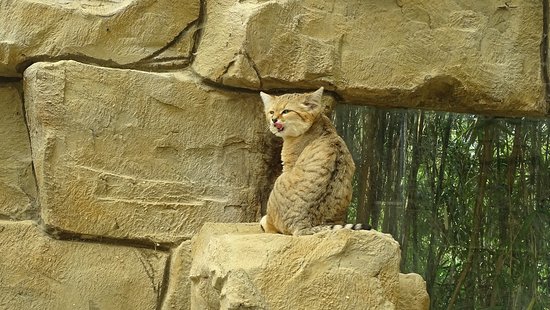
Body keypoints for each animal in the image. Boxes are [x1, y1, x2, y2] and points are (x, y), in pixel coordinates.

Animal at [260, 87, 368, 235]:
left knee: (272, 228)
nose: (273, 120)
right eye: (271, 112)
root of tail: (303, 223)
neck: (320, 123)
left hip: (279, 181)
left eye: (286, 111)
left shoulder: (288, 166)